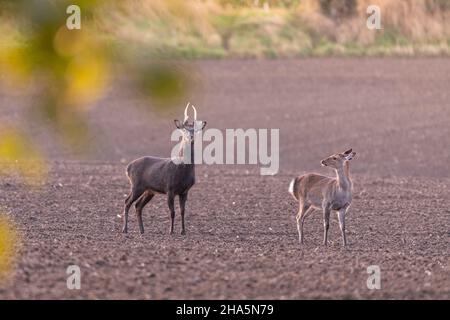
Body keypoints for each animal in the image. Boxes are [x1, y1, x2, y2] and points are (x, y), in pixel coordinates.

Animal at [123, 103, 207, 235]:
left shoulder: (185, 191)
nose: (191, 137)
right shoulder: (169, 188)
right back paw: (125, 229)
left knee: (138, 205)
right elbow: (172, 212)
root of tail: (128, 167)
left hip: (149, 190)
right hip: (136, 185)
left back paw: (142, 230)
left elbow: (183, 211)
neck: (182, 171)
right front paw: (171, 231)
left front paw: (183, 231)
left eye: (195, 130)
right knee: (127, 202)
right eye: (184, 129)